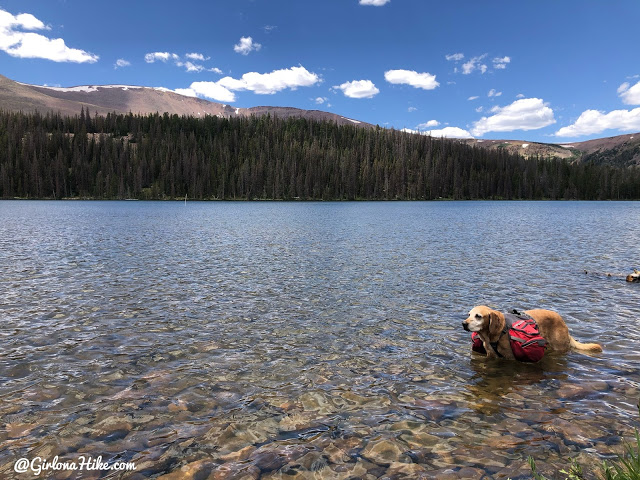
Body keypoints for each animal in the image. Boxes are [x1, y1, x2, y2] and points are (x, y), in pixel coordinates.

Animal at [462, 306, 604, 358]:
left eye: (478, 316)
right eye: (468, 314)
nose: (463, 323)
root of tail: (563, 322)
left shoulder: (510, 357)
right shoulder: (491, 356)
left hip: (559, 345)